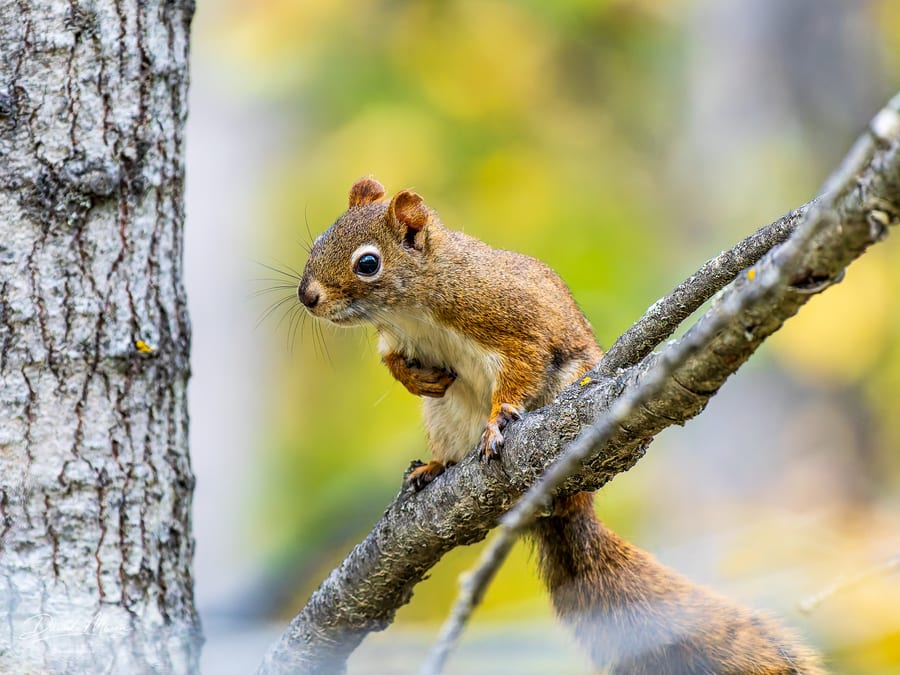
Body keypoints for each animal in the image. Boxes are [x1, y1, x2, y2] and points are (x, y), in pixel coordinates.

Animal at [297, 176, 823, 674]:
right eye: (317, 241)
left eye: (368, 263)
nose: (307, 296)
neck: (412, 309)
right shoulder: (396, 339)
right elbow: (392, 361)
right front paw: (416, 378)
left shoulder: (508, 320)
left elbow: (522, 367)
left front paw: (497, 423)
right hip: (442, 418)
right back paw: (435, 467)